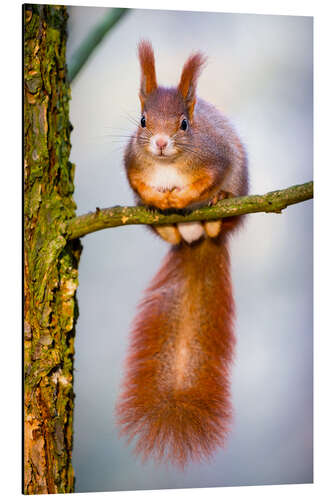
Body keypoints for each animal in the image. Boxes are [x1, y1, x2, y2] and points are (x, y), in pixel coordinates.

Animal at [115, 41, 248, 466]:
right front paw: (159, 198)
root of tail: (195, 239)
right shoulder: (131, 163)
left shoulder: (216, 156)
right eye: (143, 121)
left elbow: (205, 179)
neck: (167, 164)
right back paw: (166, 220)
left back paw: (215, 210)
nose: (160, 143)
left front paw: (183, 196)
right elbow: (138, 182)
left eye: (185, 125)